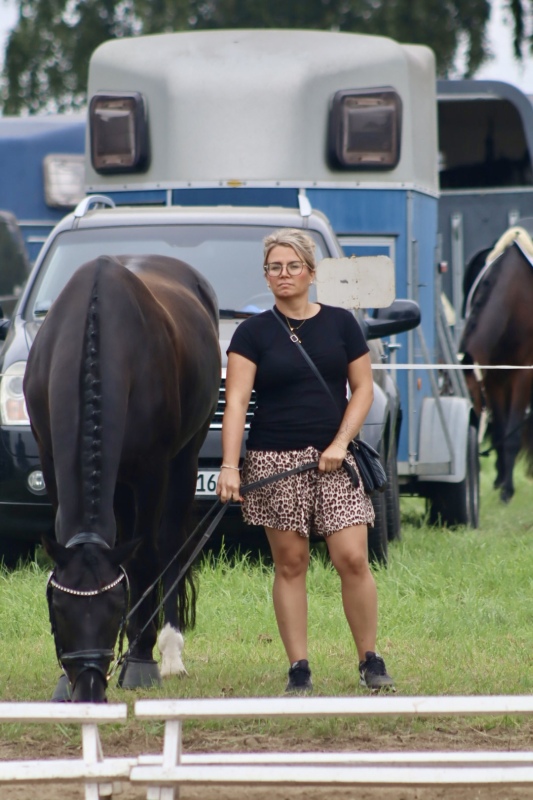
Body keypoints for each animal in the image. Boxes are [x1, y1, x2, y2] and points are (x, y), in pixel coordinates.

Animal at [23, 254, 221, 701]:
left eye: (114, 610)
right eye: (58, 610)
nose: (89, 688)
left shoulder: (151, 471)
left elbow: (146, 558)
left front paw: (142, 661)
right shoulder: (49, 460)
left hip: (183, 459)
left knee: (170, 546)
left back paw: (167, 651)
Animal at [459, 235, 533, 503]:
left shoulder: (523, 374)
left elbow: (511, 435)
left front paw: (507, 492)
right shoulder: (492, 377)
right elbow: (502, 430)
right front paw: (502, 481)